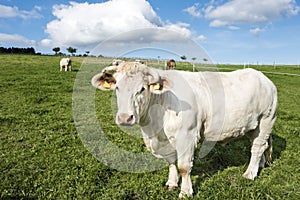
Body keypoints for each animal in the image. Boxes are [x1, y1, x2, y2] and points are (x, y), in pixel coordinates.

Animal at [91, 61, 276, 198]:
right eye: (117, 88)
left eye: (142, 88)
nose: (125, 118)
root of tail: (262, 77)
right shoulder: (166, 141)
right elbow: (171, 162)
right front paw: (172, 183)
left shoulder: (186, 136)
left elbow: (184, 167)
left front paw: (185, 192)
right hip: (254, 127)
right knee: (261, 146)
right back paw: (258, 166)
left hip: (266, 120)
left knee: (258, 147)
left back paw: (249, 174)